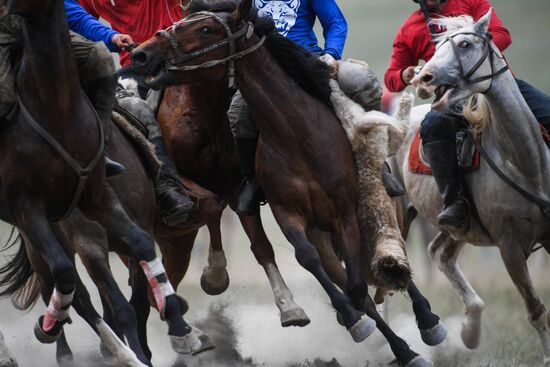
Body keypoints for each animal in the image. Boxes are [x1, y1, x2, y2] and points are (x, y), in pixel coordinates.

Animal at [129, 1, 432, 366]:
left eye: (205, 29)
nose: (143, 53)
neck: (297, 135)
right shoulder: (287, 211)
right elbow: (310, 261)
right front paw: (349, 319)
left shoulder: (345, 213)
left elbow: (358, 283)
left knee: (387, 249)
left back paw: (426, 321)